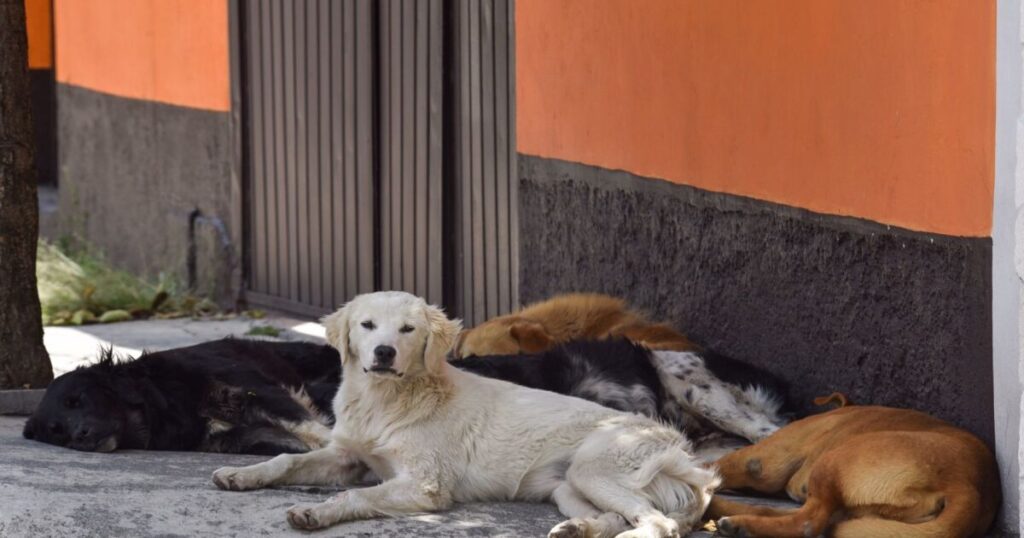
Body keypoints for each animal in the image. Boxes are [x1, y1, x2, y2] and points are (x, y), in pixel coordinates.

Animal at [23, 340, 339, 452]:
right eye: (57, 430)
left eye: (77, 400)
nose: (81, 435)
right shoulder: (237, 438)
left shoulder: (256, 391)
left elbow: (312, 428)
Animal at [708, 405, 995, 532]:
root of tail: (965, 483)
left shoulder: (758, 462)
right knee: (777, 511)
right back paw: (721, 512)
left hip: (832, 461)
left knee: (808, 523)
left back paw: (737, 524)